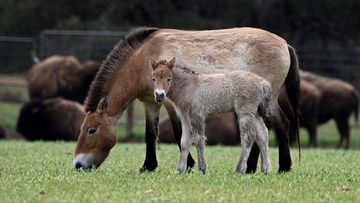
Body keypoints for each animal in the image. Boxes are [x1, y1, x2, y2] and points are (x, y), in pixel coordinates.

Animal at [73, 27, 300, 173]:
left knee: (275, 127)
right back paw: (264, 167)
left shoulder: (170, 103)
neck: (142, 59)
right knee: (272, 128)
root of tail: (285, 44)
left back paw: (275, 166)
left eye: (92, 130)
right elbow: (150, 134)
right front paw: (148, 166)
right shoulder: (150, 103)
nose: (78, 165)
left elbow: (179, 133)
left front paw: (189, 164)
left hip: (265, 103)